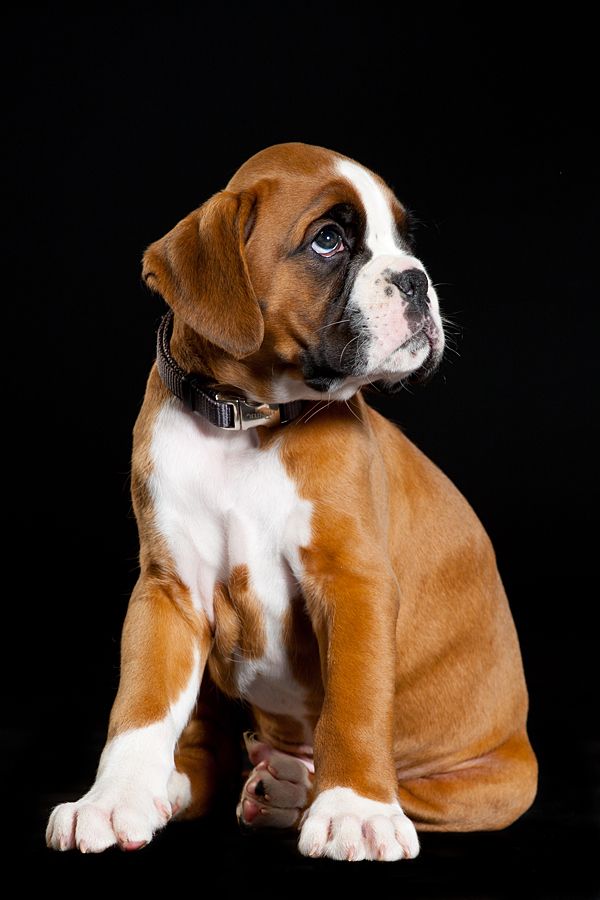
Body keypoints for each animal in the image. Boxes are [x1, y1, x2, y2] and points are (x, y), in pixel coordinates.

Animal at [45, 142, 536, 864]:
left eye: (405, 241)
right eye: (328, 240)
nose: (416, 279)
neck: (245, 421)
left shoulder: (354, 582)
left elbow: (355, 705)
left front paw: (357, 809)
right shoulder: (167, 591)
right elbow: (140, 706)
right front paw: (113, 799)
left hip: (495, 788)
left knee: (403, 791)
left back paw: (296, 793)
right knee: (206, 758)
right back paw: (203, 785)